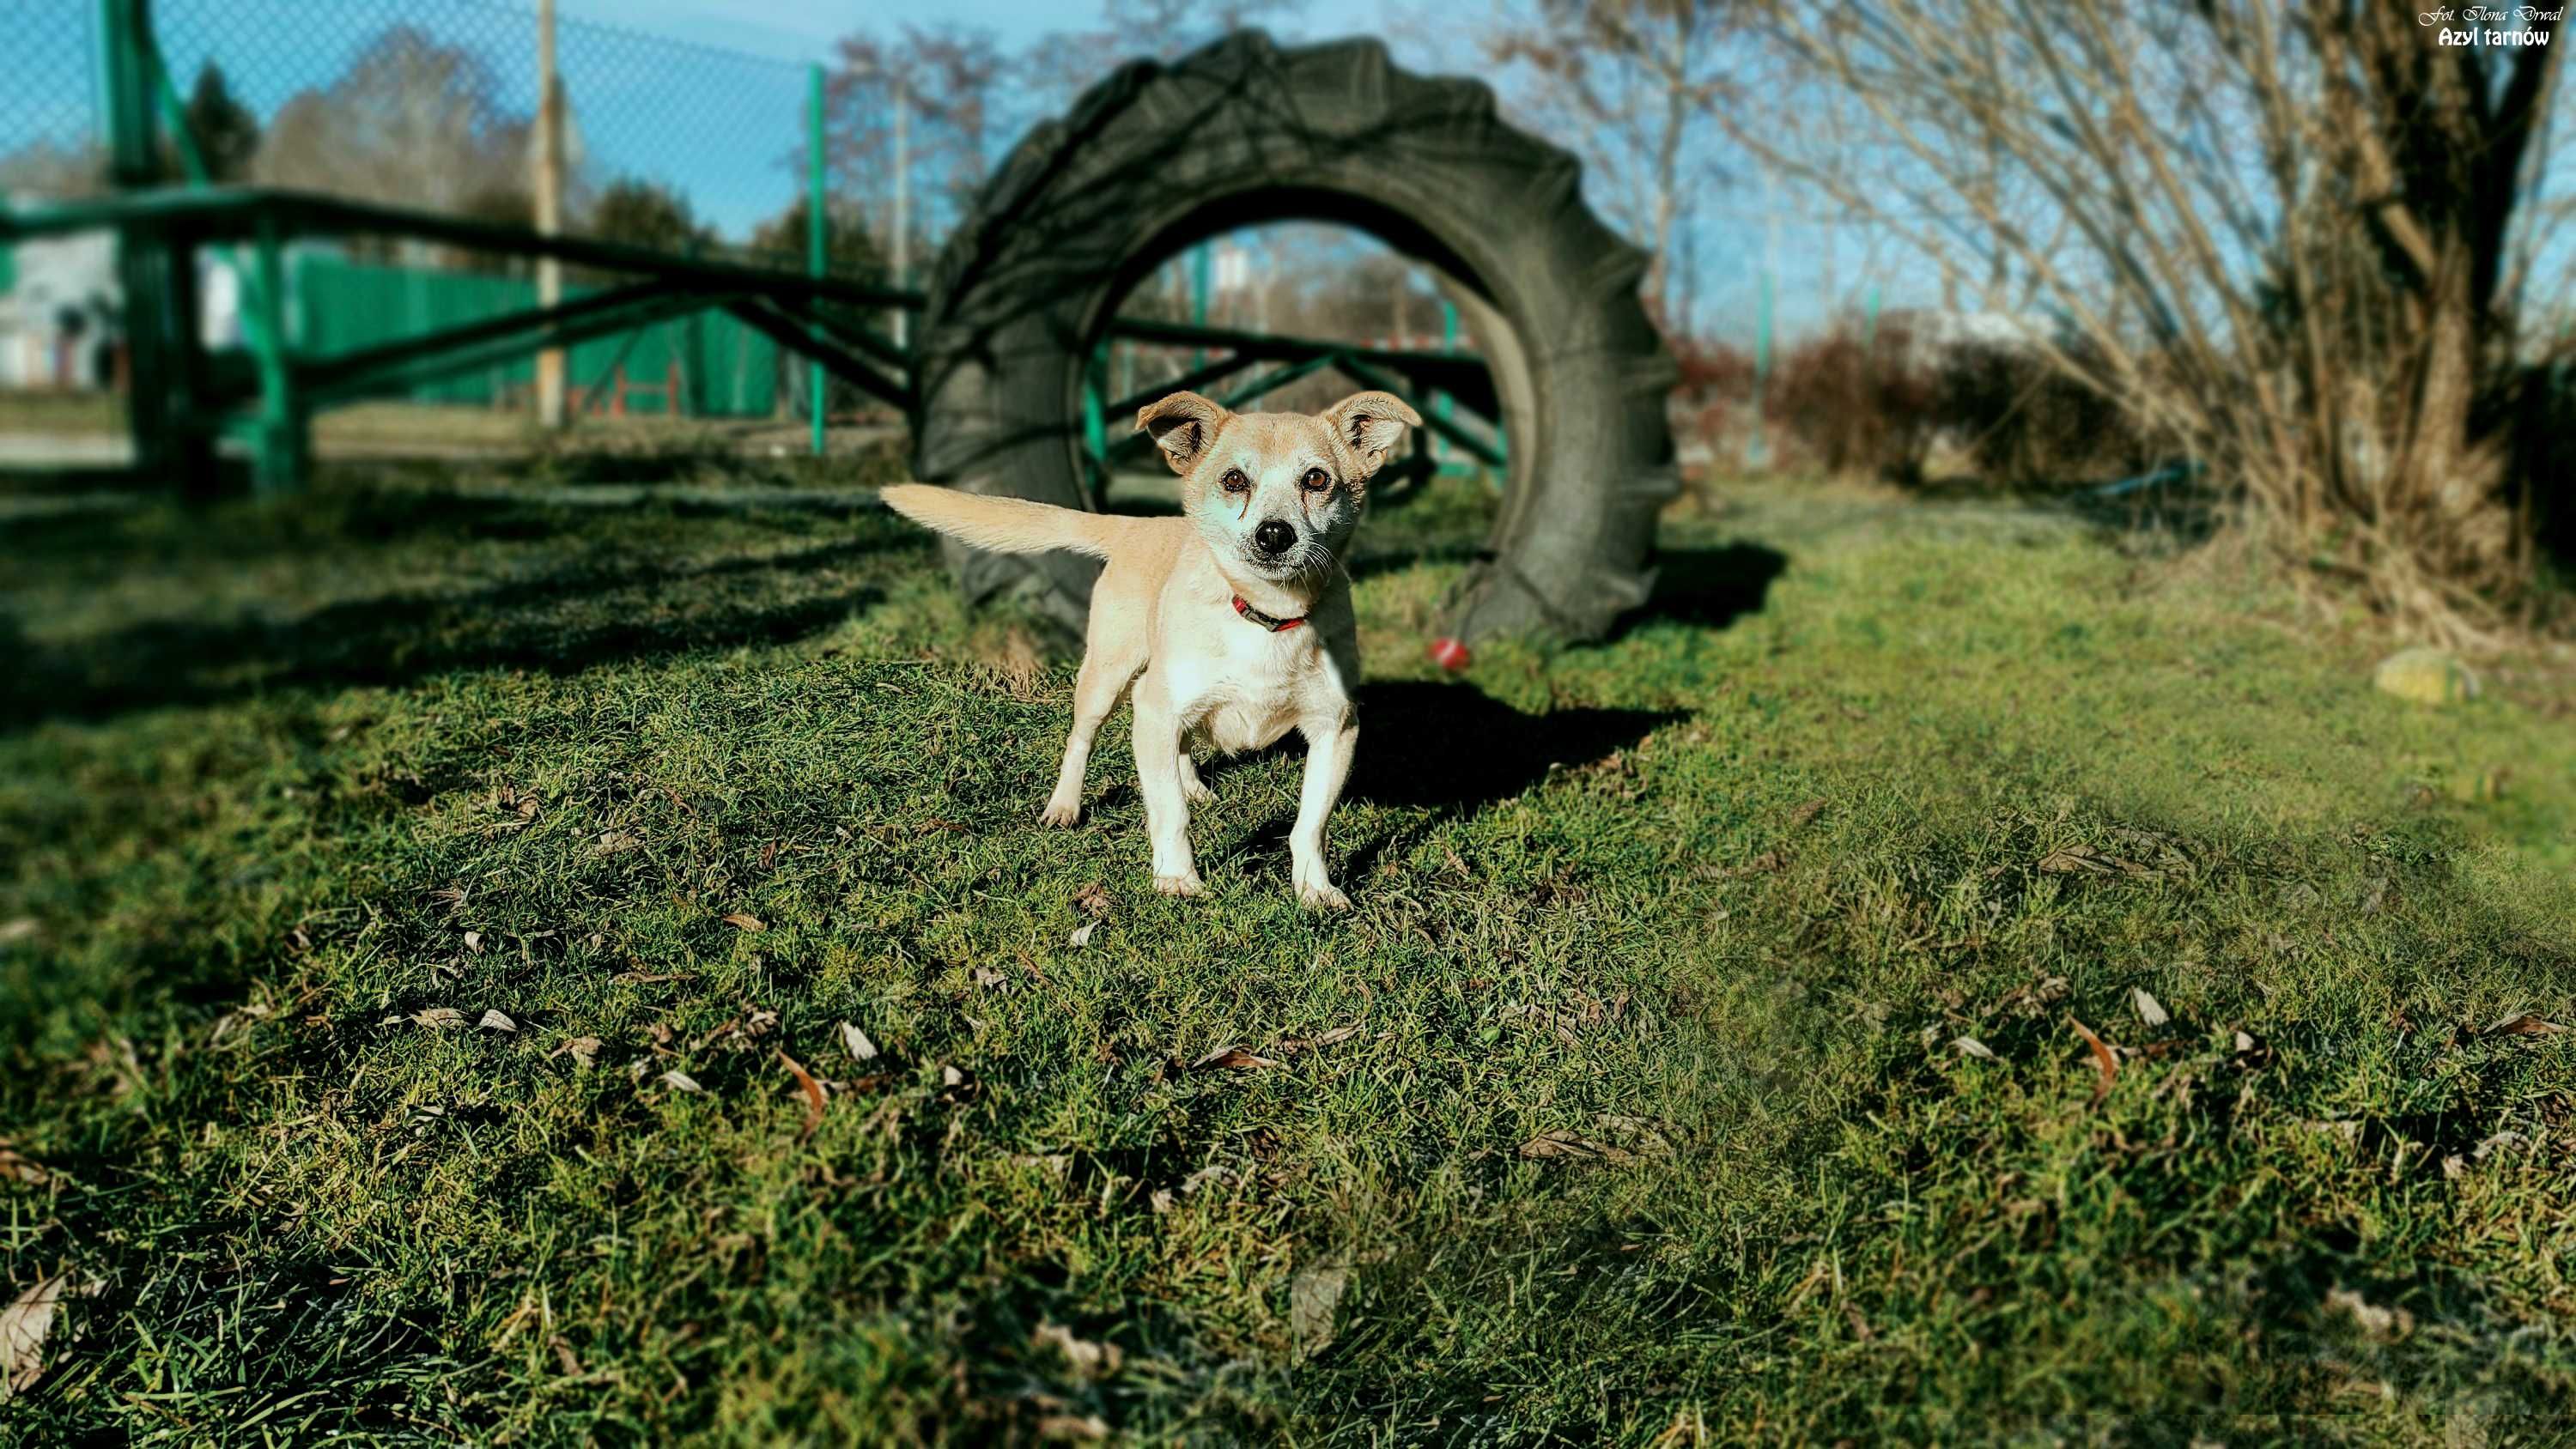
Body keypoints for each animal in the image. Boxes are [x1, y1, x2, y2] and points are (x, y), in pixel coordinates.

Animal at [881, 385, 1412, 906]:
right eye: (1234, 480)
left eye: (1317, 479)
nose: (1275, 534)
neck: (1267, 618)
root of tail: (1138, 524)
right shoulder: (1154, 709)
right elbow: (1170, 811)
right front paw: (1176, 878)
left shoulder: (1335, 728)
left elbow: (1310, 824)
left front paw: (1315, 888)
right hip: (1108, 680)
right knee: (1082, 740)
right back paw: (1065, 805)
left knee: (1180, 744)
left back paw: (1192, 784)